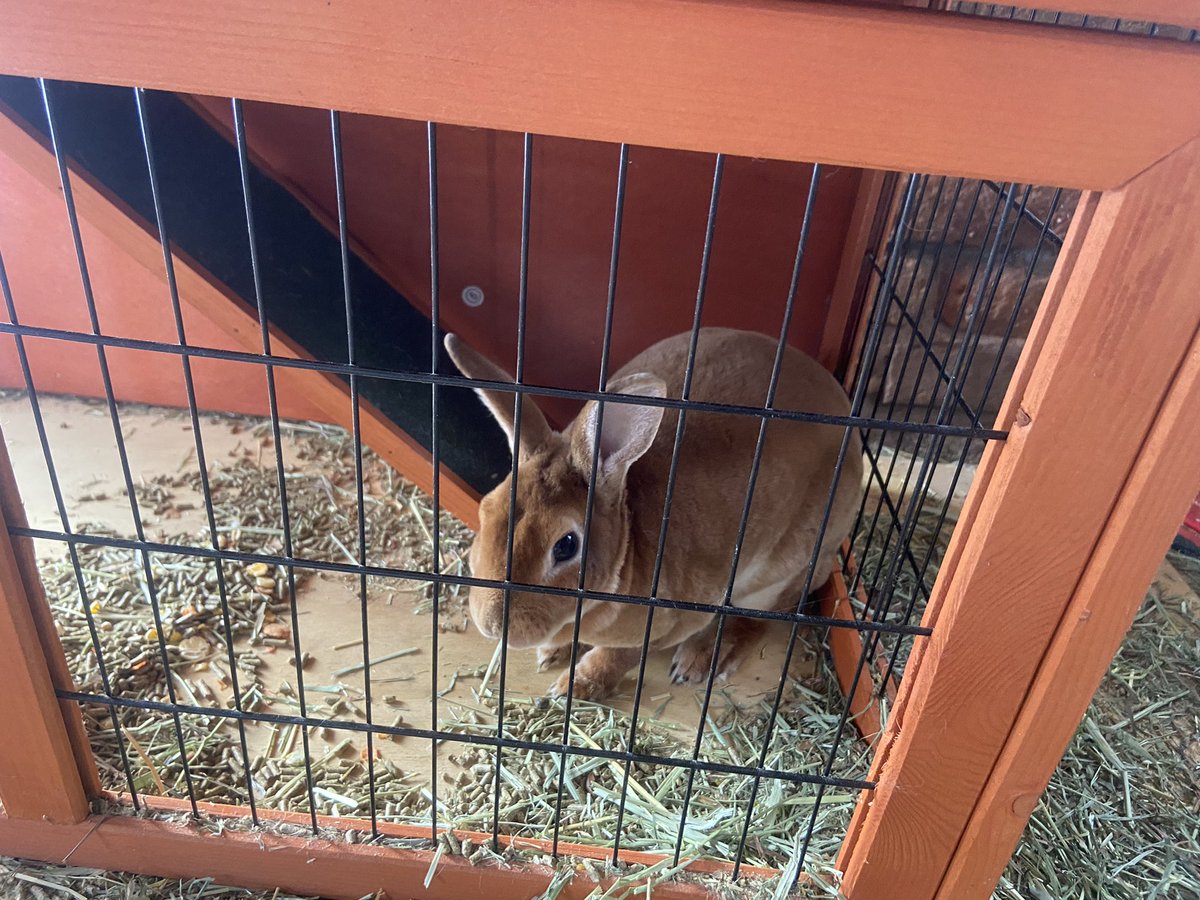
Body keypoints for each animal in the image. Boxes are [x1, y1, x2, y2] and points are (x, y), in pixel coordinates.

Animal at [444, 327, 864, 701]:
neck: (628, 550)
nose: (491, 625)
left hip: (779, 575)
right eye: (486, 509)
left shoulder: (667, 622)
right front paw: (553, 653)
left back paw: (702, 659)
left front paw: (576, 687)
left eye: (565, 545)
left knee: (760, 616)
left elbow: (619, 656)